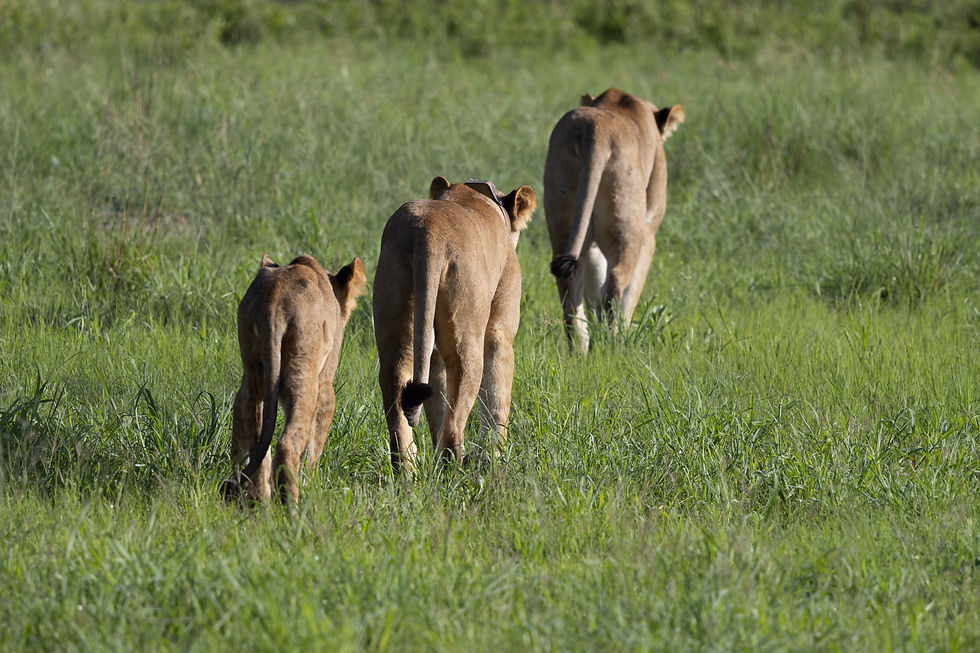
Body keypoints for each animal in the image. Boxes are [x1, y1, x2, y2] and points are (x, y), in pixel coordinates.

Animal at [223, 253, 367, 503]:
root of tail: (275, 299)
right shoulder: (325, 384)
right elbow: (314, 445)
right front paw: (310, 484)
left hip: (254, 374)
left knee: (257, 443)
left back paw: (260, 503)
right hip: (304, 376)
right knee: (288, 444)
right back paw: (292, 505)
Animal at [373, 177, 537, 473]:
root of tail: (428, 233)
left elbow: (437, 405)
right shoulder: (500, 330)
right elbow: (497, 399)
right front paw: (495, 456)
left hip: (394, 314)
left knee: (396, 387)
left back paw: (408, 470)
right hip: (467, 331)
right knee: (454, 422)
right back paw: (455, 471)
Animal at [543, 88, 684, 350]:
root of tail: (594, 129)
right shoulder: (649, 232)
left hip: (562, 218)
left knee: (570, 283)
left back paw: (581, 349)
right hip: (628, 223)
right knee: (618, 277)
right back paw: (612, 344)